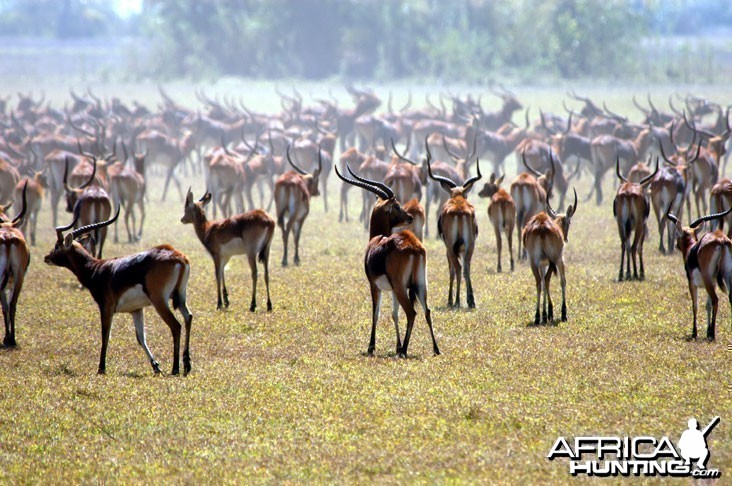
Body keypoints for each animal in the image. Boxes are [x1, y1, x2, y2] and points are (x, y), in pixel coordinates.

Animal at [41, 209, 193, 376]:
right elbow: (141, 338)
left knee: (176, 325)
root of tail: (179, 257)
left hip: (159, 301)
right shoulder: (136, 309)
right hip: (181, 297)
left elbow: (105, 335)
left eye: (57, 246)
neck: (95, 270)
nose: (46, 257)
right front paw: (156, 366)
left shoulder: (106, 307)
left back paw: (175, 369)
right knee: (188, 317)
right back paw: (187, 365)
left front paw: (101, 368)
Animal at [336, 163, 440, 356]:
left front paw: (371, 347)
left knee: (412, 312)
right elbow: (394, 314)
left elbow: (376, 313)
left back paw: (405, 350)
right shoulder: (391, 290)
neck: (377, 240)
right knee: (427, 311)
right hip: (420, 284)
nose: (409, 217)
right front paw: (396, 345)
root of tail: (414, 247)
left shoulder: (374, 285)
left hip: (401, 287)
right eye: (397, 206)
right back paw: (435, 349)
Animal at [426, 148, 484, 308]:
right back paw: (471, 301)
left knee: (457, 268)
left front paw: (450, 300)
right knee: (466, 267)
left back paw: (456, 301)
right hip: (470, 245)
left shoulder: (448, 247)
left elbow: (451, 270)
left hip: (451, 246)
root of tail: (459, 210)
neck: (457, 197)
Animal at [524, 191, 580, 326]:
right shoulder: (560, 260)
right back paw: (546, 315)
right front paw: (562, 314)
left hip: (533, 262)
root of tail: (541, 225)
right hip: (554, 259)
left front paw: (547, 313)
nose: (566, 239)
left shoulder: (542, 264)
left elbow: (545, 284)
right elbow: (562, 281)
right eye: (569, 222)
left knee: (539, 282)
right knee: (547, 280)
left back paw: (538, 316)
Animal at [668, 207, 732, 340]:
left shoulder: (692, 283)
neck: (692, 249)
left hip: (707, 278)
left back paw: (713, 334)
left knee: (715, 300)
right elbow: (707, 306)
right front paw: (706, 331)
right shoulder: (713, 283)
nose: (676, 245)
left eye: (677, 233)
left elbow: (695, 305)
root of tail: (721, 240)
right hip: (727, 275)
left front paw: (695, 332)